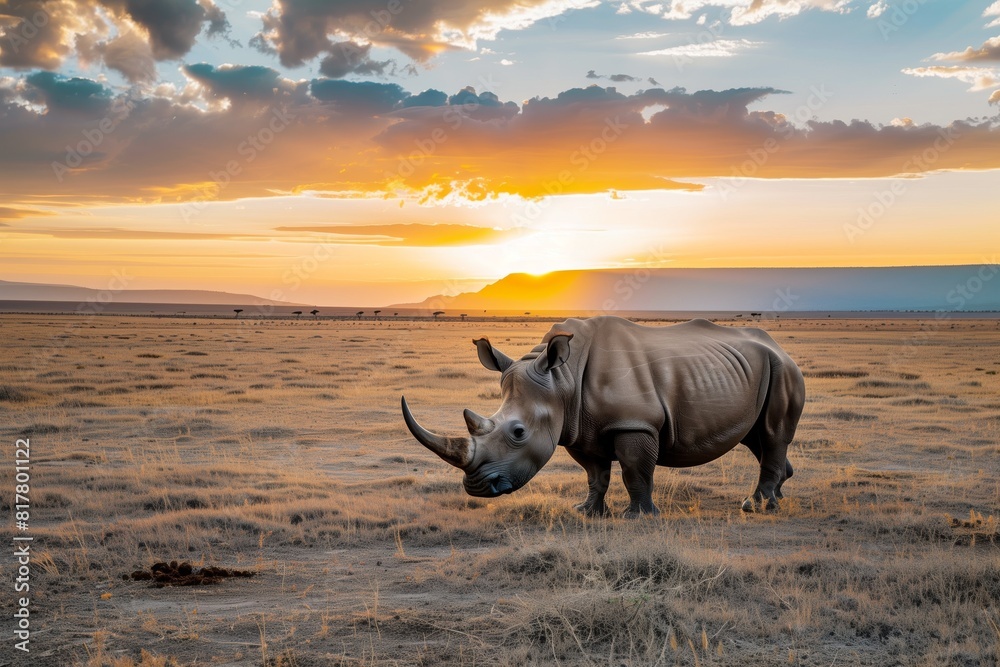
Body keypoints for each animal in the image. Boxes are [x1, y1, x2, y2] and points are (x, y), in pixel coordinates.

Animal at [401, 316, 805, 516]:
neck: (561, 380)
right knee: (758, 439)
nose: (476, 488)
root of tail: (779, 346)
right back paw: (778, 496)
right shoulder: (579, 427)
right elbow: (595, 474)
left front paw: (639, 517)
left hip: (783, 369)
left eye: (518, 432)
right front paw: (587, 512)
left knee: (772, 434)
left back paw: (757, 508)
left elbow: (634, 471)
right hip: (756, 370)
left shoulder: (634, 423)